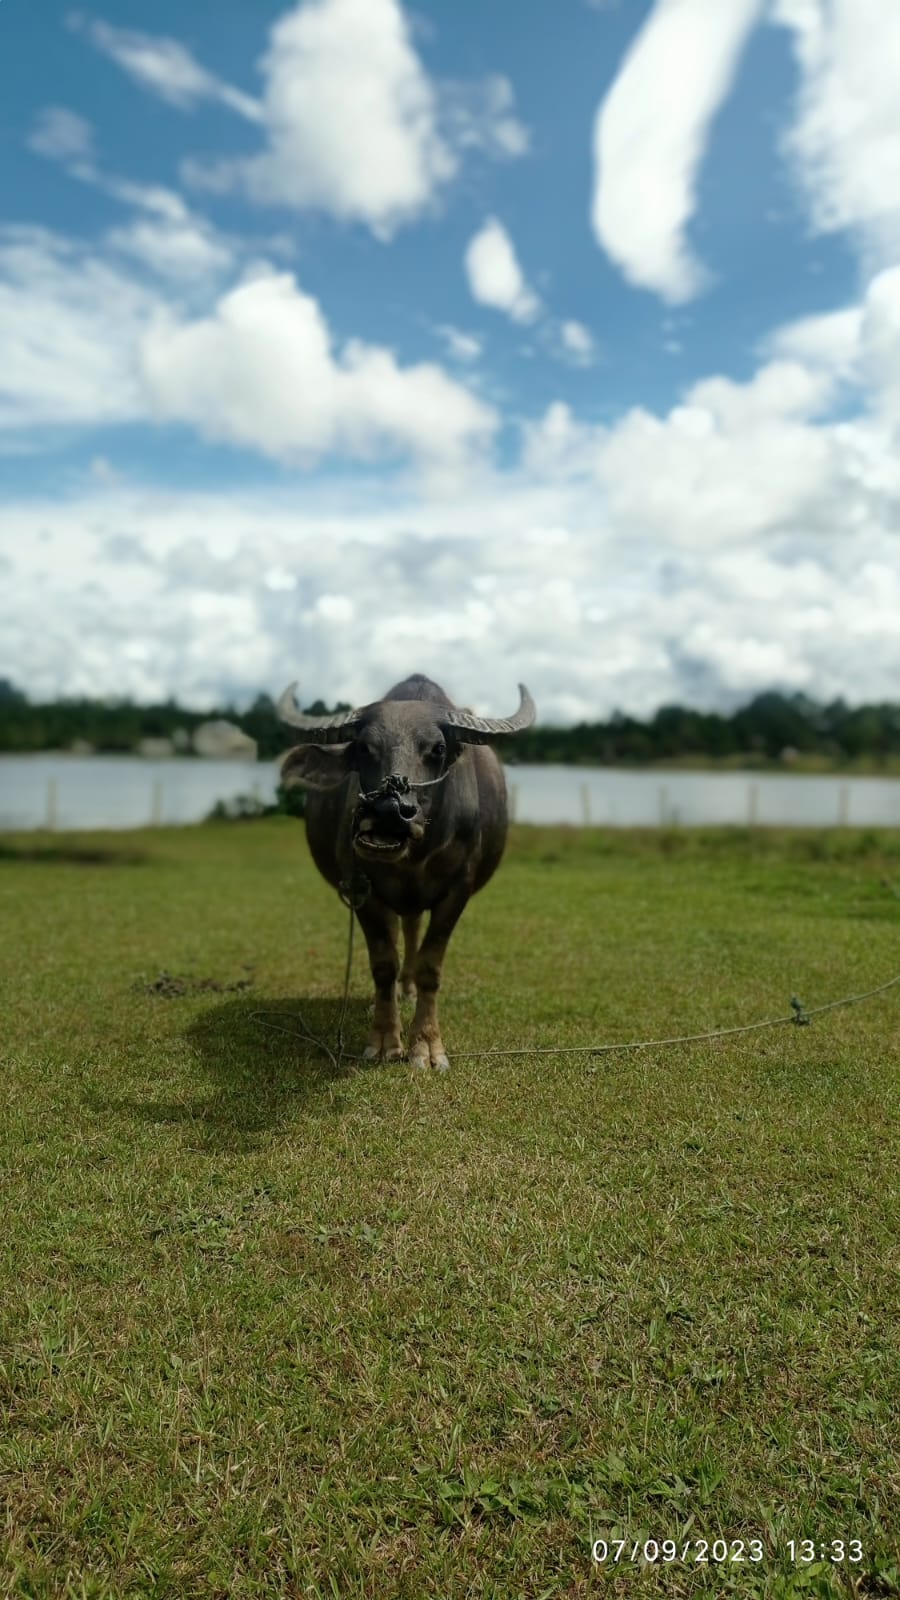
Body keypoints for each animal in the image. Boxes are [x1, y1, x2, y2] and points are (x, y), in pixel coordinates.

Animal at [279, 673, 536, 1070]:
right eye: (365, 748)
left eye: (437, 749)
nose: (388, 811)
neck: (414, 856)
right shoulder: (362, 889)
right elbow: (383, 963)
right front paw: (385, 1039)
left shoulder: (458, 890)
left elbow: (431, 966)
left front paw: (426, 1046)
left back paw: (410, 987)